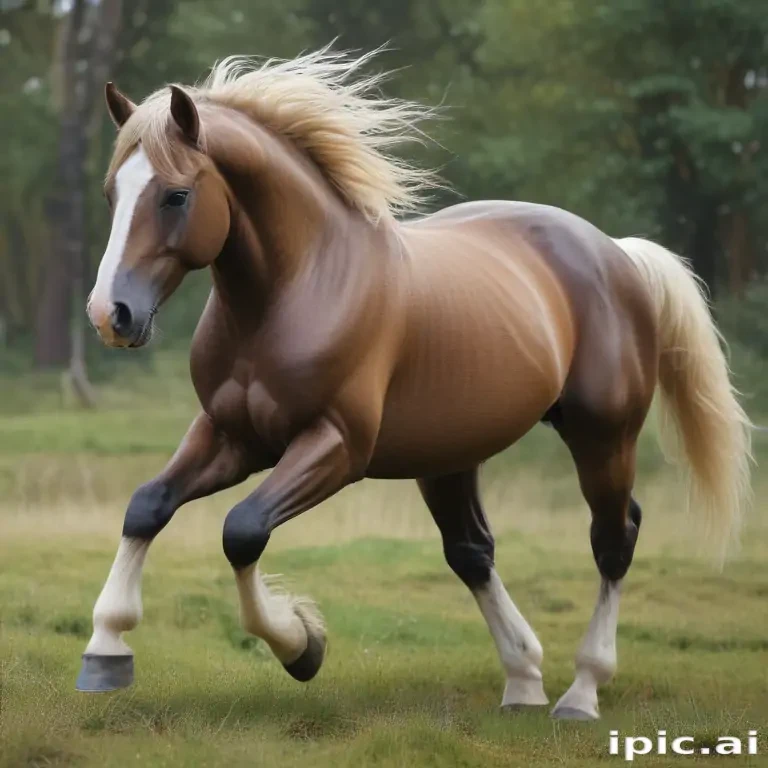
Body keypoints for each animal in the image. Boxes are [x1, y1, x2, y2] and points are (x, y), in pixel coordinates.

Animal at [80, 47, 752, 721]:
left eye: (176, 195)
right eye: (111, 192)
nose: (111, 315)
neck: (294, 292)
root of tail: (616, 251)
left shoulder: (336, 446)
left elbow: (242, 530)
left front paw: (302, 645)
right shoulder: (231, 435)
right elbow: (147, 506)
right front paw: (106, 649)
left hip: (603, 436)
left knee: (614, 538)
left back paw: (581, 692)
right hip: (450, 455)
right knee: (472, 551)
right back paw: (523, 679)